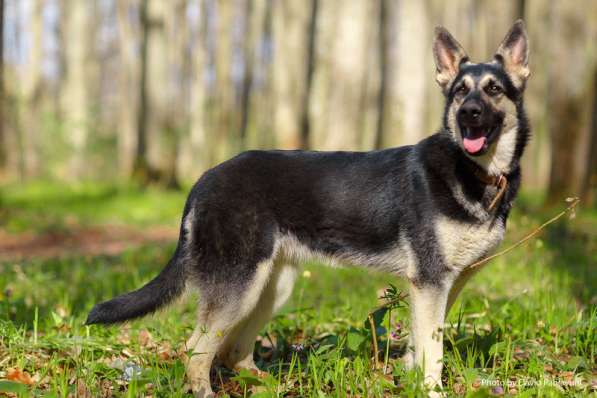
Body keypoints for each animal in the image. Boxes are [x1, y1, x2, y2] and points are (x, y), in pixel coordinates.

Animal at [86, 21, 528, 394]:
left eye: (494, 90)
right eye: (460, 92)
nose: (469, 114)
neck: (472, 170)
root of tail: (205, 178)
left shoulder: (441, 287)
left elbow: (422, 347)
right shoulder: (430, 283)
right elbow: (431, 354)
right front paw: (430, 390)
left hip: (272, 286)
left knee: (231, 350)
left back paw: (264, 384)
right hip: (239, 286)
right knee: (196, 350)